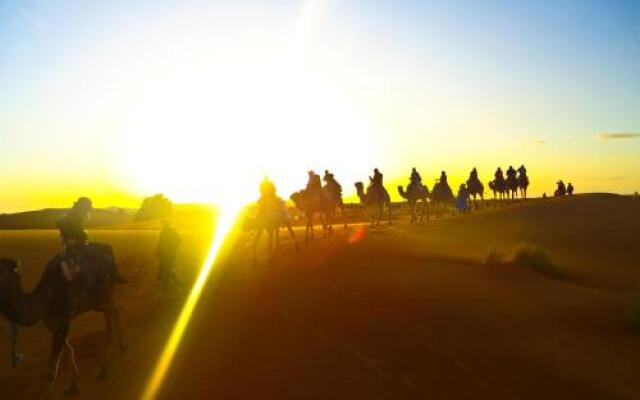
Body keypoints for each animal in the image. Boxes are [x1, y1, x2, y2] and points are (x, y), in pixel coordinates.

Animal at [0, 256, 126, 394]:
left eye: (1, 274)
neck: (45, 300)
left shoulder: (63, 323)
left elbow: (52, 367)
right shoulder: (52, 325)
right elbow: (68, 349)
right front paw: (74, 384)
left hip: (103, 297)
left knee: (109, 326)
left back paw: (103, 371)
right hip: (98, 302)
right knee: (116, 312)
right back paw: (122, 346)